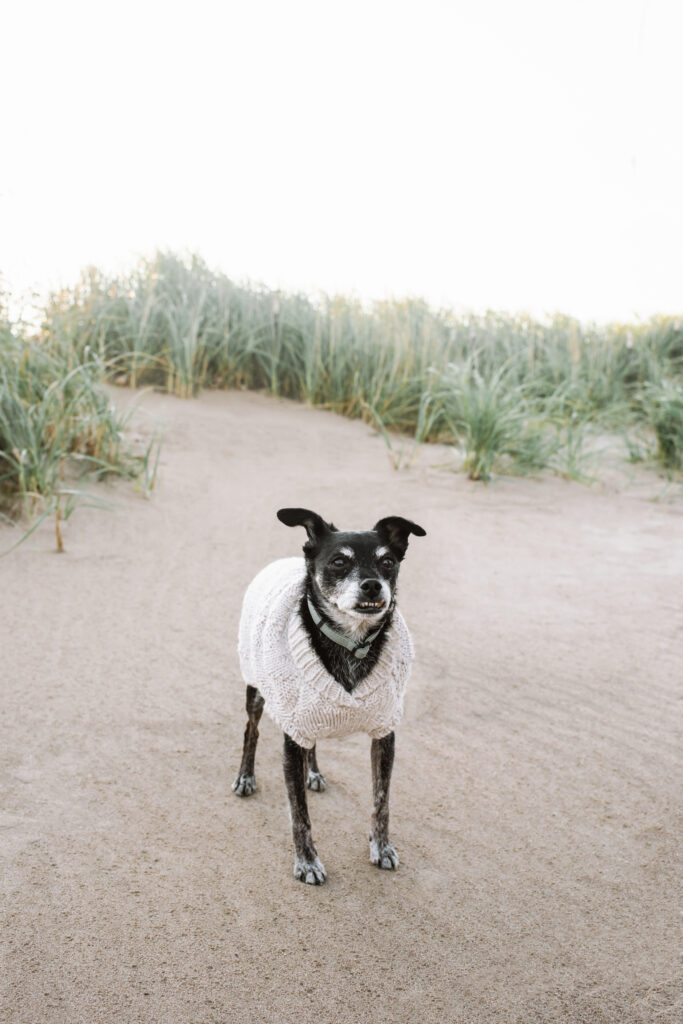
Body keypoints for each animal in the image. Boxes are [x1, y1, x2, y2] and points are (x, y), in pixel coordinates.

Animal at [235, 507, 428, 884]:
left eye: (387, 562)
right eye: (339, 561)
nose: (372, 584)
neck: (351, 643)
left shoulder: (384, 732)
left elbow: (381, 800)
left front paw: (381, 847)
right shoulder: (292, 736)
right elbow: (300, 814)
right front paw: (308, 862)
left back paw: (314, 773)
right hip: (257, 688)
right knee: (251, 730)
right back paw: (246, 777)